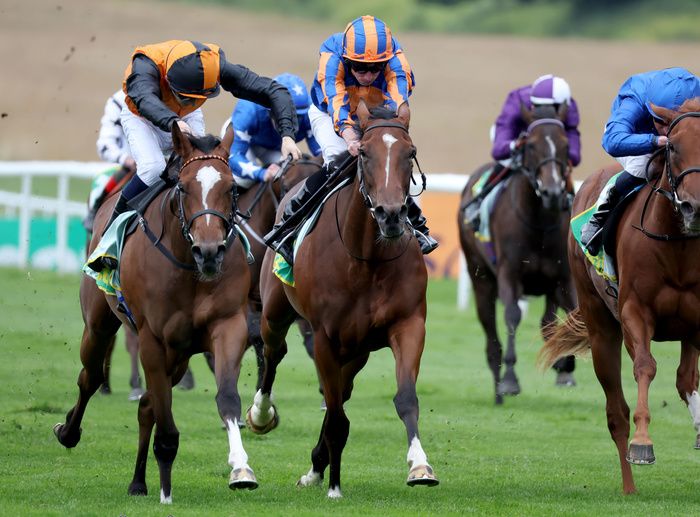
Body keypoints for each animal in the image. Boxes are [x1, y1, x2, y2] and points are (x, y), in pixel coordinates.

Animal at [54, 126, 258, 504]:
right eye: (184, 187)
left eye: (232, 188)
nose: (209, 252)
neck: (189, 268)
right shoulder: (152, 338)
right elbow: (164, 419)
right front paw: (166, 488)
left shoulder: (227, 326)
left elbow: (226, 398)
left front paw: (241, 468)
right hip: (98, 325)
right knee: (90, 377)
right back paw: (69, 431)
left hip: (178, 356)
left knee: (146, 405)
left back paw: (139, 481)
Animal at [245, 101, 438, 496]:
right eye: (363, 153)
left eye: (409, 153)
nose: (391, 215)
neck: (367, 259)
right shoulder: (324, 338)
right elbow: (334, 414)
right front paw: (334, 485)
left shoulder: (408, 324)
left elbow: (405, 398)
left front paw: (420, 465)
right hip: (276, 312)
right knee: (274, 354)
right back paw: (261, 414)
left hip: (357, 349)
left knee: (343, 391)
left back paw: (317, 464)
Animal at [456, 103, 576, 406]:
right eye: (530, 145)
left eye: (565, 144)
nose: (552, 192)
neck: (539, 223)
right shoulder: (509, 273)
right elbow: (512, 315)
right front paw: (510, 380)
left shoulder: (563, 277)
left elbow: (570, 316)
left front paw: (565, 364)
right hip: (481, 279)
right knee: (491, 335)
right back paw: (499, 388)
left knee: (547, 323)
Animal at [540, 100, 700, 492]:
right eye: (673, 147)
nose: (694, 206)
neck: (679, 244)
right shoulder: (634, 312)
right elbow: (645, 366)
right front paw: (643, 443)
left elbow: (684, 378)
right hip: (600, 327)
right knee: (617, 414)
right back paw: (629, 486)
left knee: (685, 379)